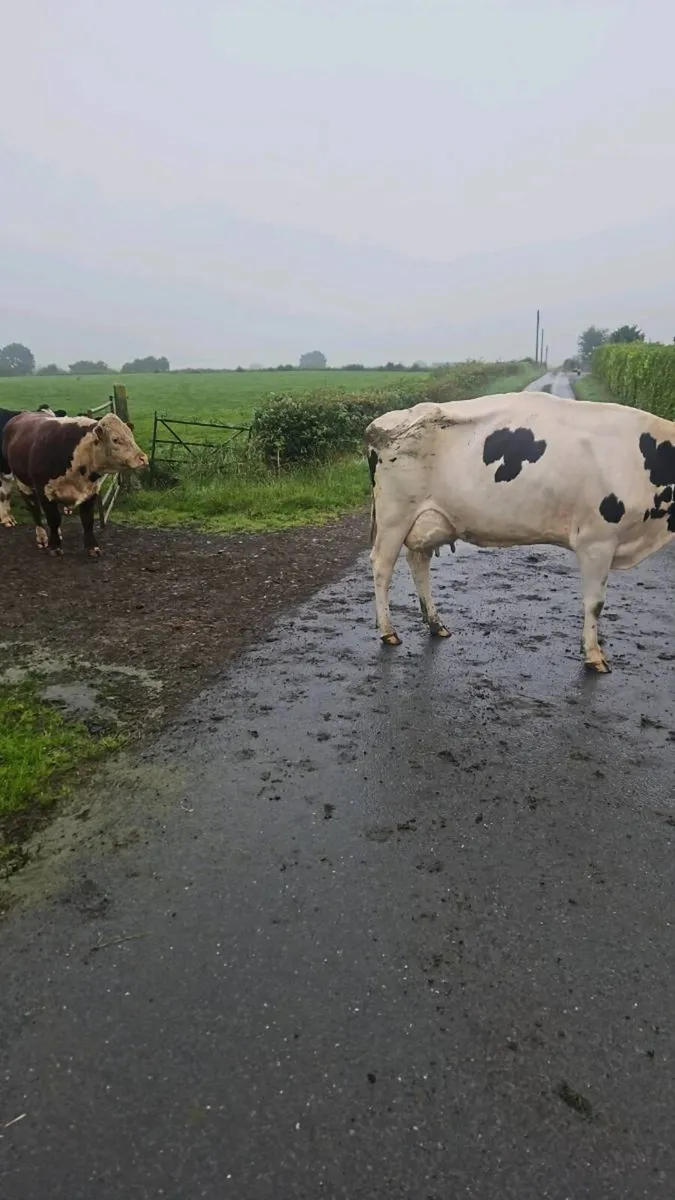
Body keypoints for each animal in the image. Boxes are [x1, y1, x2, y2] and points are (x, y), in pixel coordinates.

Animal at [2, 410, 148, 556]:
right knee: (33, 509)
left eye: (131, 436)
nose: (143, 458)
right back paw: (40, 536)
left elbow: (87, 520)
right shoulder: (44, 491)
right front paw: (55, 546)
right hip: (20, 481)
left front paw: (92, 546)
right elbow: (53, 519)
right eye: (115, 439)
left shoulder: (91, 491)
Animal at [365, 391, 675, 673]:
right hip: (394, 516)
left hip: (429, 520)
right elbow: (595, 603)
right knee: (382, 566)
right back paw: (388, 631)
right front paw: (594, 655)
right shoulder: (596, 541)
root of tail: (384, 421)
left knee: (418, 562)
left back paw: (436, 624)